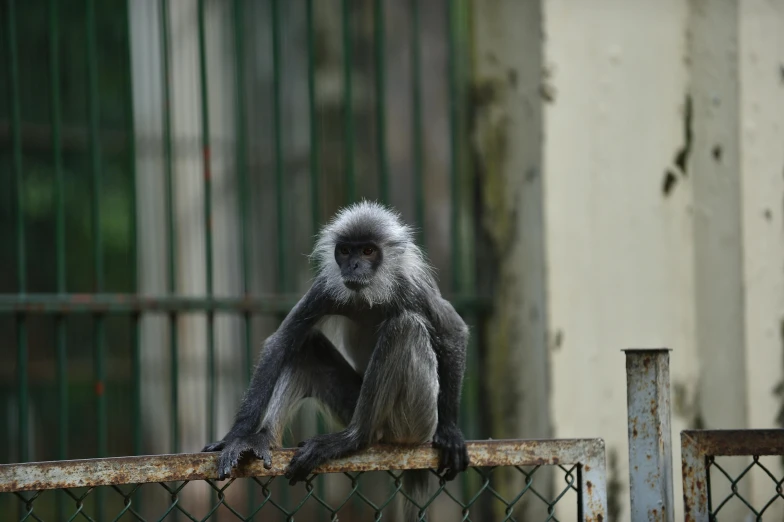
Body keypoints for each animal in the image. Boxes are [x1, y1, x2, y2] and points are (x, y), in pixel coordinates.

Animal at [204, 200, 472, 516]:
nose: (353, 265)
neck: (370, 294)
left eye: (367, 251)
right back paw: (262, 439)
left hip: (416, 421)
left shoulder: (412, 287)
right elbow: (280, 342)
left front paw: (451, 432)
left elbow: (454, 332)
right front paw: (236, 438)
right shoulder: (325, 289)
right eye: (345, 251)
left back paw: (353, 439)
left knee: (404, 327)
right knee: (307, 345)